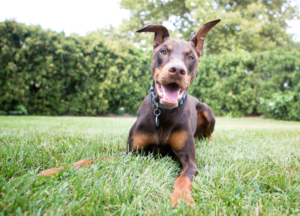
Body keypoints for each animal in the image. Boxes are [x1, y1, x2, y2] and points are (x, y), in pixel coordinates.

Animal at [38, 19, 220, 208]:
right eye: (163, 52)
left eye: (190, 57)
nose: (177, 70)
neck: (162, 113)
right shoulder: (131, 152)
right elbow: (91, 159)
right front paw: (55, 170)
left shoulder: (189, 161)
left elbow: (183, 178)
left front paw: (182, 199)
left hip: (206, 109)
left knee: (208, 134)